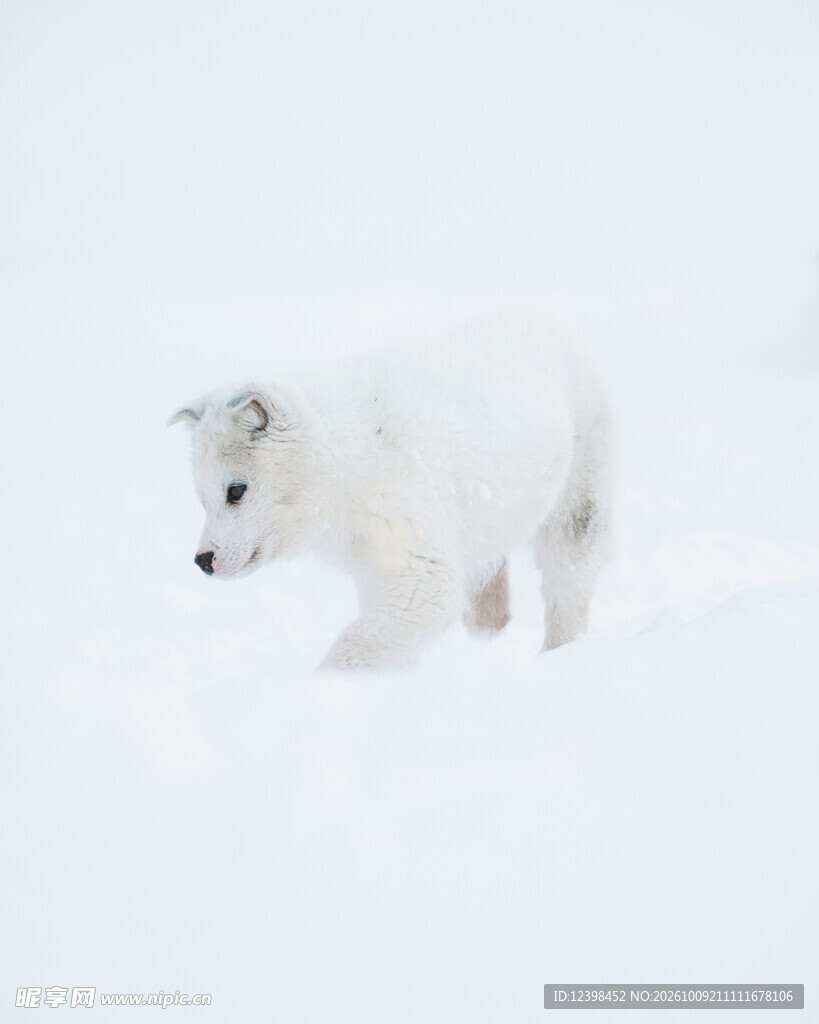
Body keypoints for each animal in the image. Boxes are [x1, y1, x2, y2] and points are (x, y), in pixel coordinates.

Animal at [169, 323, 612, 669]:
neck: (346, 460)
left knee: (568, 583)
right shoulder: (375, 569)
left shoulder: (421, 560)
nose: (202, 561)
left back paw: (560, 655)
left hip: (581, 498)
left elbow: (360, 644)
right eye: (202, 500)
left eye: (236, 491)